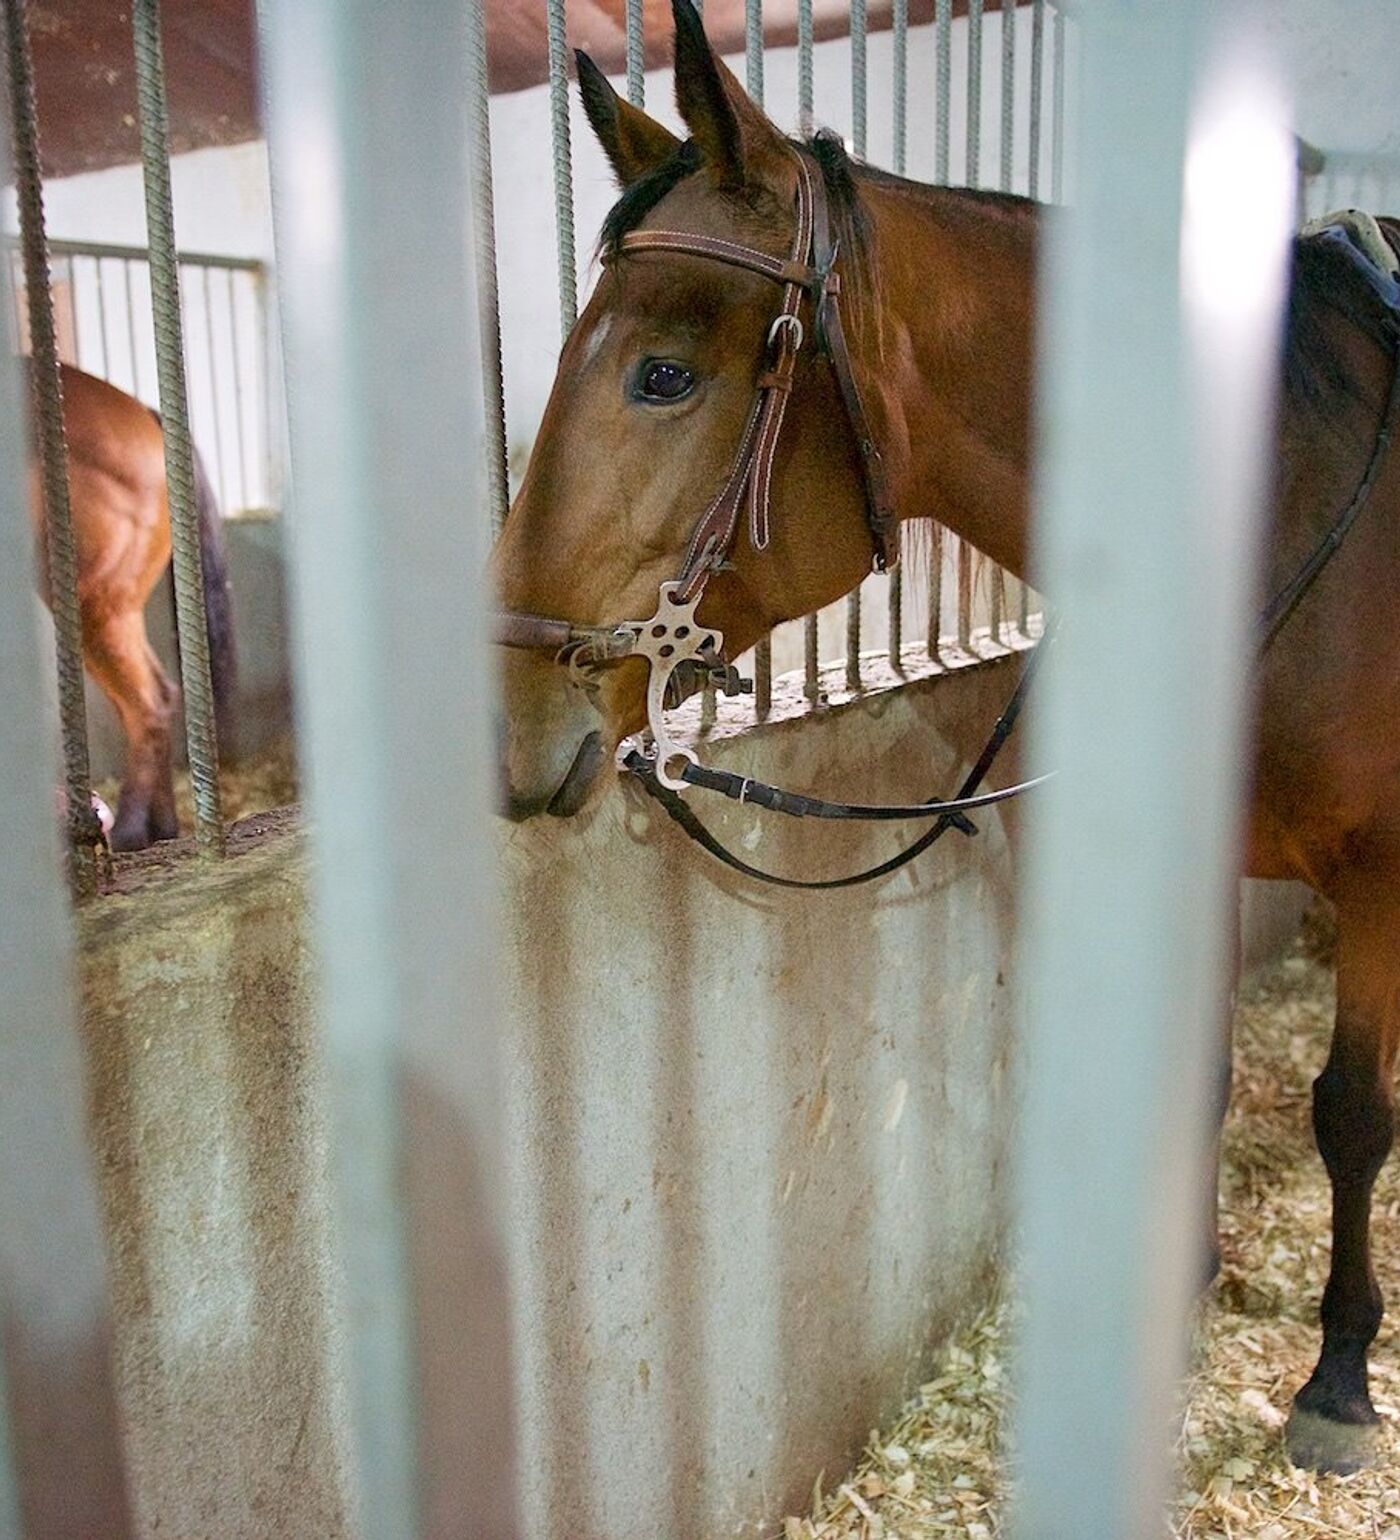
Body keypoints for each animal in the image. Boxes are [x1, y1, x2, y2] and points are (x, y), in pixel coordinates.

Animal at [28, 361, 235, 856]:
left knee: (147, 704)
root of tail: (145, 416)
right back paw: (160, 828)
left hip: (93, 604)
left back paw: (128, 831)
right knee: (156, 696)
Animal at [492, 0, 1400, 1472]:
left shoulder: (1383, 875)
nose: (510, 716)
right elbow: (1192, 1078)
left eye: (663, 374)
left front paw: (1335, 1381)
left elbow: (1353, 1113)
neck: (1282, 506)